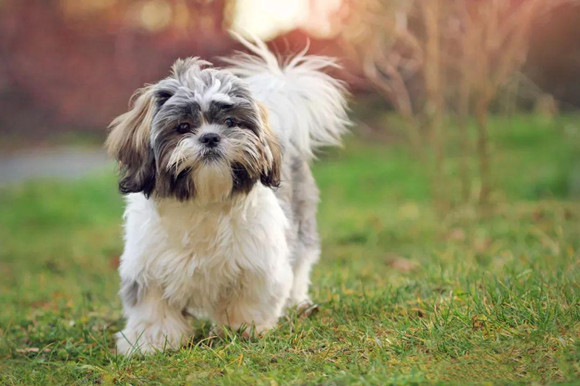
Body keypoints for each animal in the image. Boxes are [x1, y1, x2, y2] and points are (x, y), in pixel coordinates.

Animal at [105, 37, 348, 356]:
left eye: (231, 122)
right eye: (183, 127)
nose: (210, 137)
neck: (204, 201)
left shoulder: (258, 262)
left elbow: (249, 299)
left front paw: (244, 329)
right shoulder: (147, 266)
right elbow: (153, 308)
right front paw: (151, 341)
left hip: (301, 223)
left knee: (300, 265)